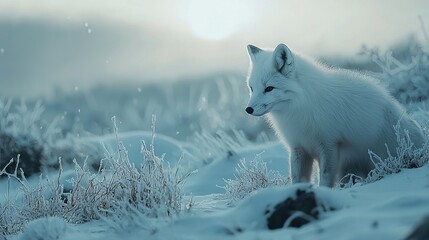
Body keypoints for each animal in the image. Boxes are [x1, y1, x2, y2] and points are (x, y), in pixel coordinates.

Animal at [246, 43, 422, 188]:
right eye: (251, 88)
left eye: (269, 88)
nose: (248, 109)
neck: (298, 110)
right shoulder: (298, 147)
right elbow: (297, 179)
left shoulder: (329, 145)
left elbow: (324, 178)